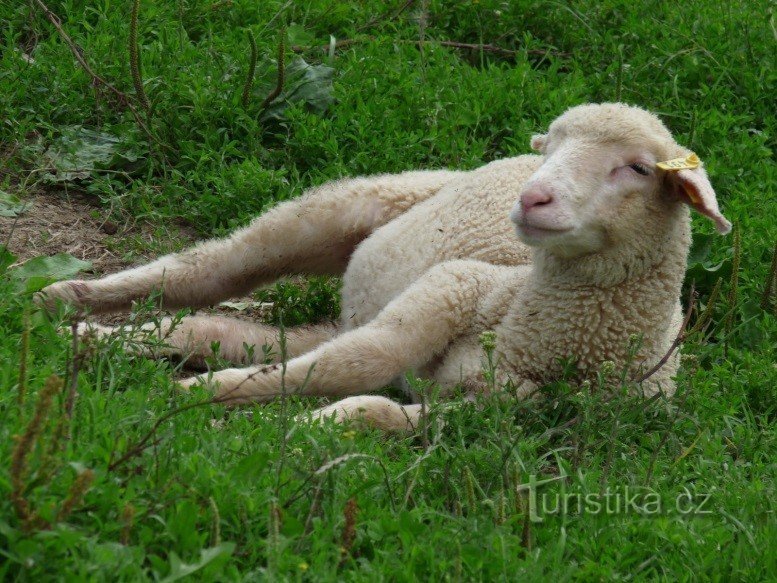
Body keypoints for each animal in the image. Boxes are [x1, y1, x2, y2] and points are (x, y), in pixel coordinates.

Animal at [39, 102, 732, 432]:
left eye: (636, 168)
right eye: (554, 147)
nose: (532, 197)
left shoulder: (519, 417)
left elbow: (374, 410)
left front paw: (306, 424)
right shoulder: (452, 286)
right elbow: (360, 364)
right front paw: (199, 398)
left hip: (349, 304)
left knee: (220, 333)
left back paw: (95, 343)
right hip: (343, 208)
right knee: (206, 272)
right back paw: (64, 299)